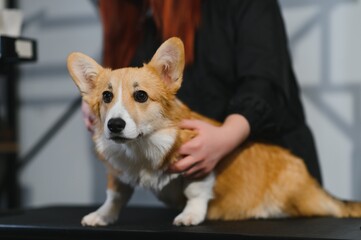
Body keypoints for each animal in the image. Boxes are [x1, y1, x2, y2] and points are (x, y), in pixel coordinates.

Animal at [67, 36, 360, 226]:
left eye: (141, 96)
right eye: (106, 96)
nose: (114, 125)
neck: (140, 147)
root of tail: (314, 184)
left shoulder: (199, 161)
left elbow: (196, 191)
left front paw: (190, 216)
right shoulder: (118, 167)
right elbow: (115, 195)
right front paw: (101, 215)